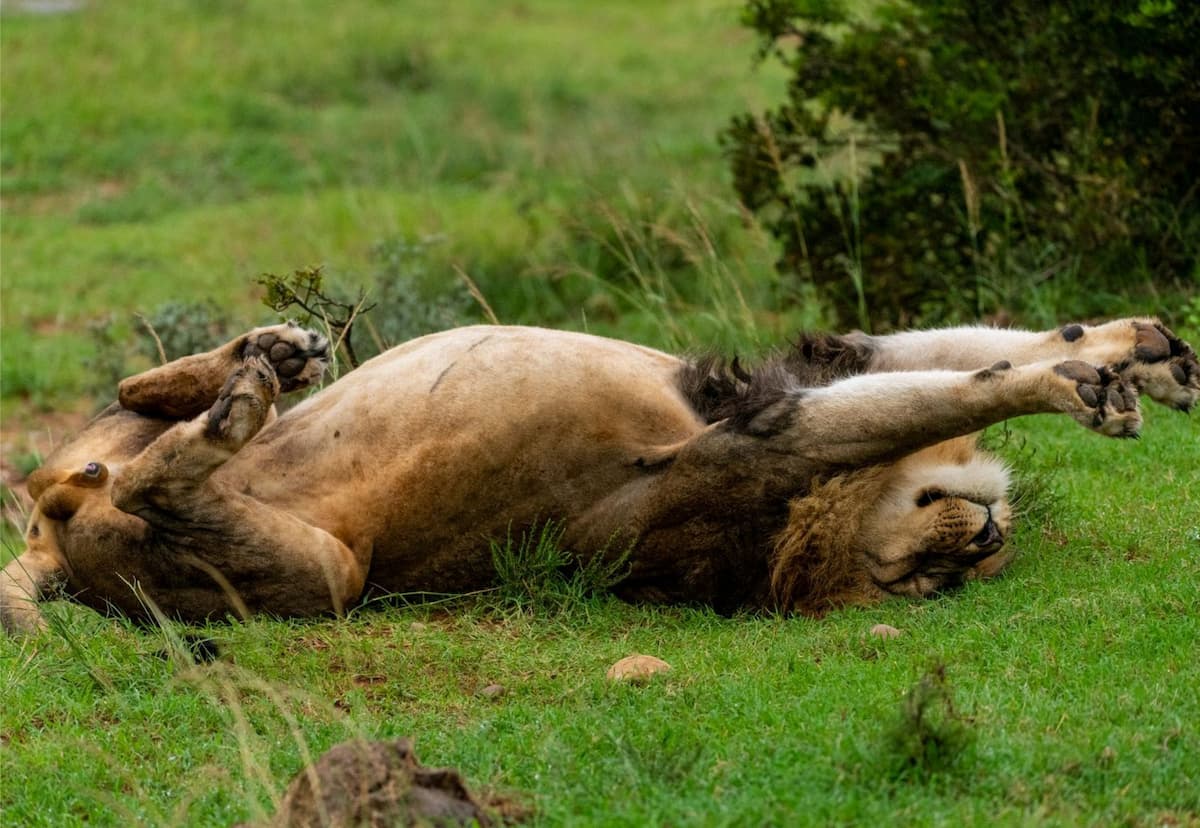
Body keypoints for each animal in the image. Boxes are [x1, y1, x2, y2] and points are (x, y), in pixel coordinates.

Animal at [2, 318, 1197, 634]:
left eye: (951, 583)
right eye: (920, 581)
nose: (986, 541)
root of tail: (49, 545)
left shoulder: (789, 376)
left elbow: (955, 344)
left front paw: (1139, 354)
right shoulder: (763, 431)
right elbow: (963, 375)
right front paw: (1095, 383)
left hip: (114, 464)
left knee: (114, 421)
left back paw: (262, 364)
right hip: (328, 577)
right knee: (141, 480)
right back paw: (249, 388)